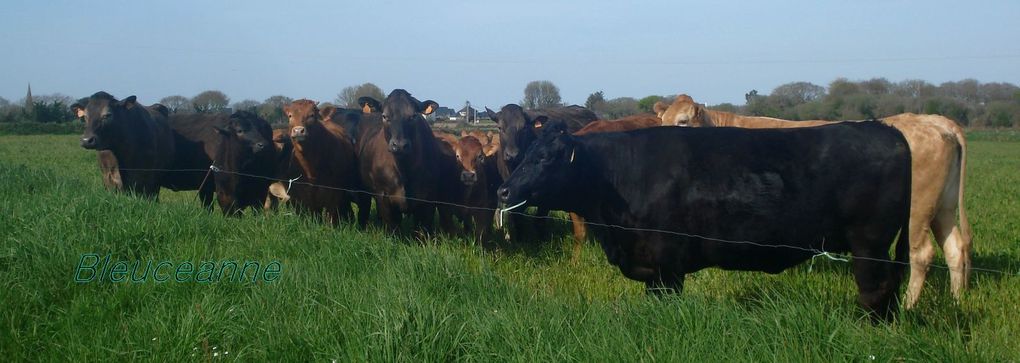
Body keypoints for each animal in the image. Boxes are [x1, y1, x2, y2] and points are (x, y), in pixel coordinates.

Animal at [497, 121, 913, 320]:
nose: (503, 191)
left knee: (875, 290)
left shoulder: (667, 264)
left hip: (869, 243)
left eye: (545, 157)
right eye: (527, 153)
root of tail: (885, 129)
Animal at [652, 92, 971, 305]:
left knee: (922, 254)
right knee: (955, 247)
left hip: (917, 208)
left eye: (682, 121)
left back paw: (907, 306)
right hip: (942, 207)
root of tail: (936, 121)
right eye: (662, 119)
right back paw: (957, 301)